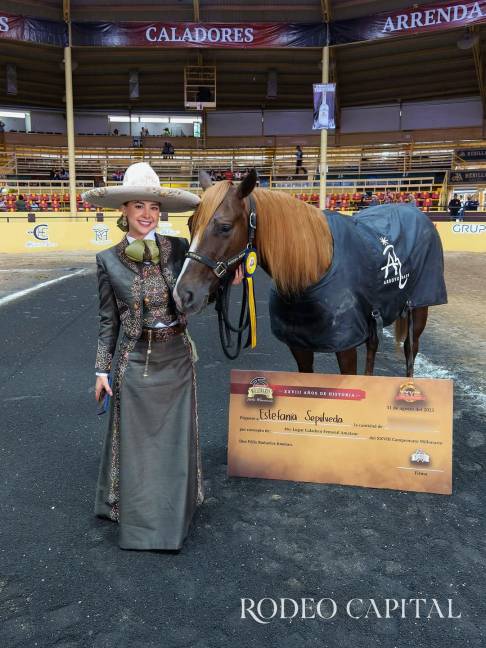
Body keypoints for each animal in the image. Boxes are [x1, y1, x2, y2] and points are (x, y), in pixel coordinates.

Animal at [173, 170, 447, 376]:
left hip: (418, 310)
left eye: (225, 227)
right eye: (189, 223)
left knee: (410, 350)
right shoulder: (300, 346)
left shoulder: (345, 346)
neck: (312, 270)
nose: (182, 294)